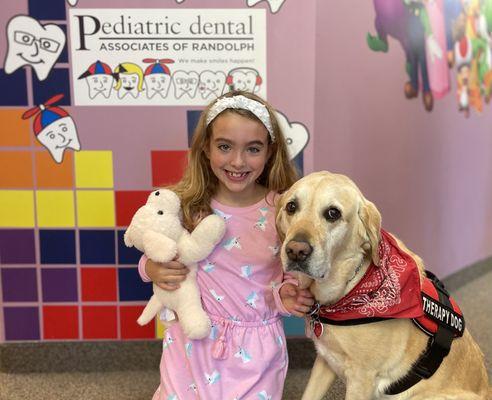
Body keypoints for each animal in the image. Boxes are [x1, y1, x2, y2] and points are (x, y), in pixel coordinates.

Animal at [274, 172, 490, 400]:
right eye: (291, 207)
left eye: (333, 213)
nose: (296, 251)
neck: (351, 288)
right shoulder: (325, 361)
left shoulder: (361, 379)